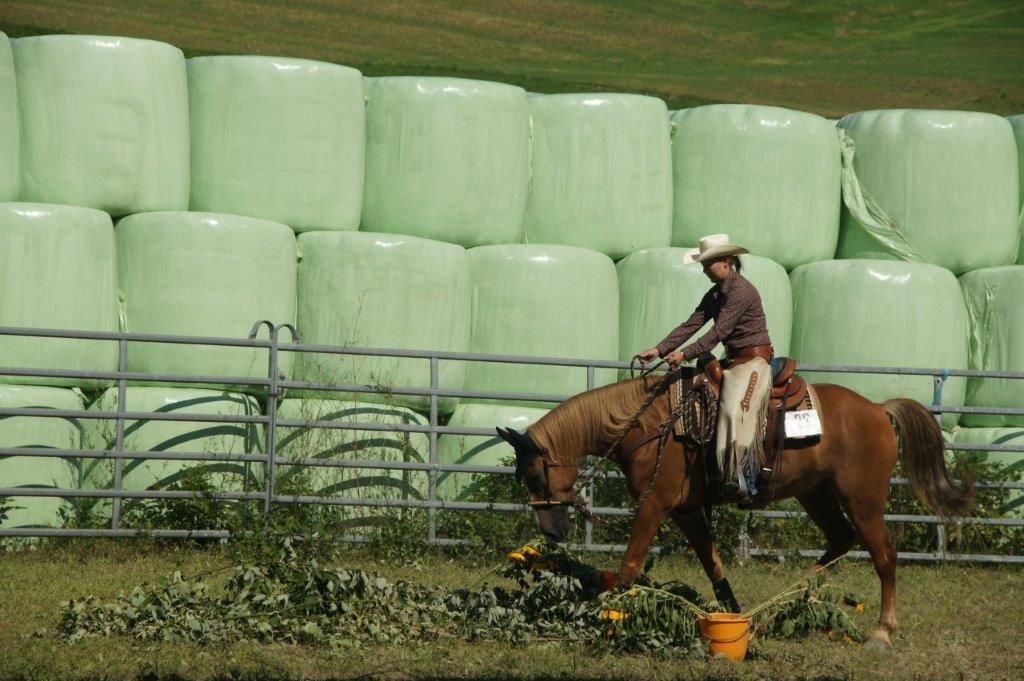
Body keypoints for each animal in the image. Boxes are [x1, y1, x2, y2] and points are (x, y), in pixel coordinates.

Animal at [495, 371, 973, 648]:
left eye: (533, 475)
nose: (551, 532)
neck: (650, 425)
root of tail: (877, 409)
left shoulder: (655, 504)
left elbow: (630, 565)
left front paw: (602, 615)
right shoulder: (687, 510)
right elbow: (714, 566)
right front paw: (734, 617)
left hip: (864, 502)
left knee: (885, 558)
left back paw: (881, 632)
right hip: (816, 495)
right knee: (839, 540)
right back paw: (794, 597)